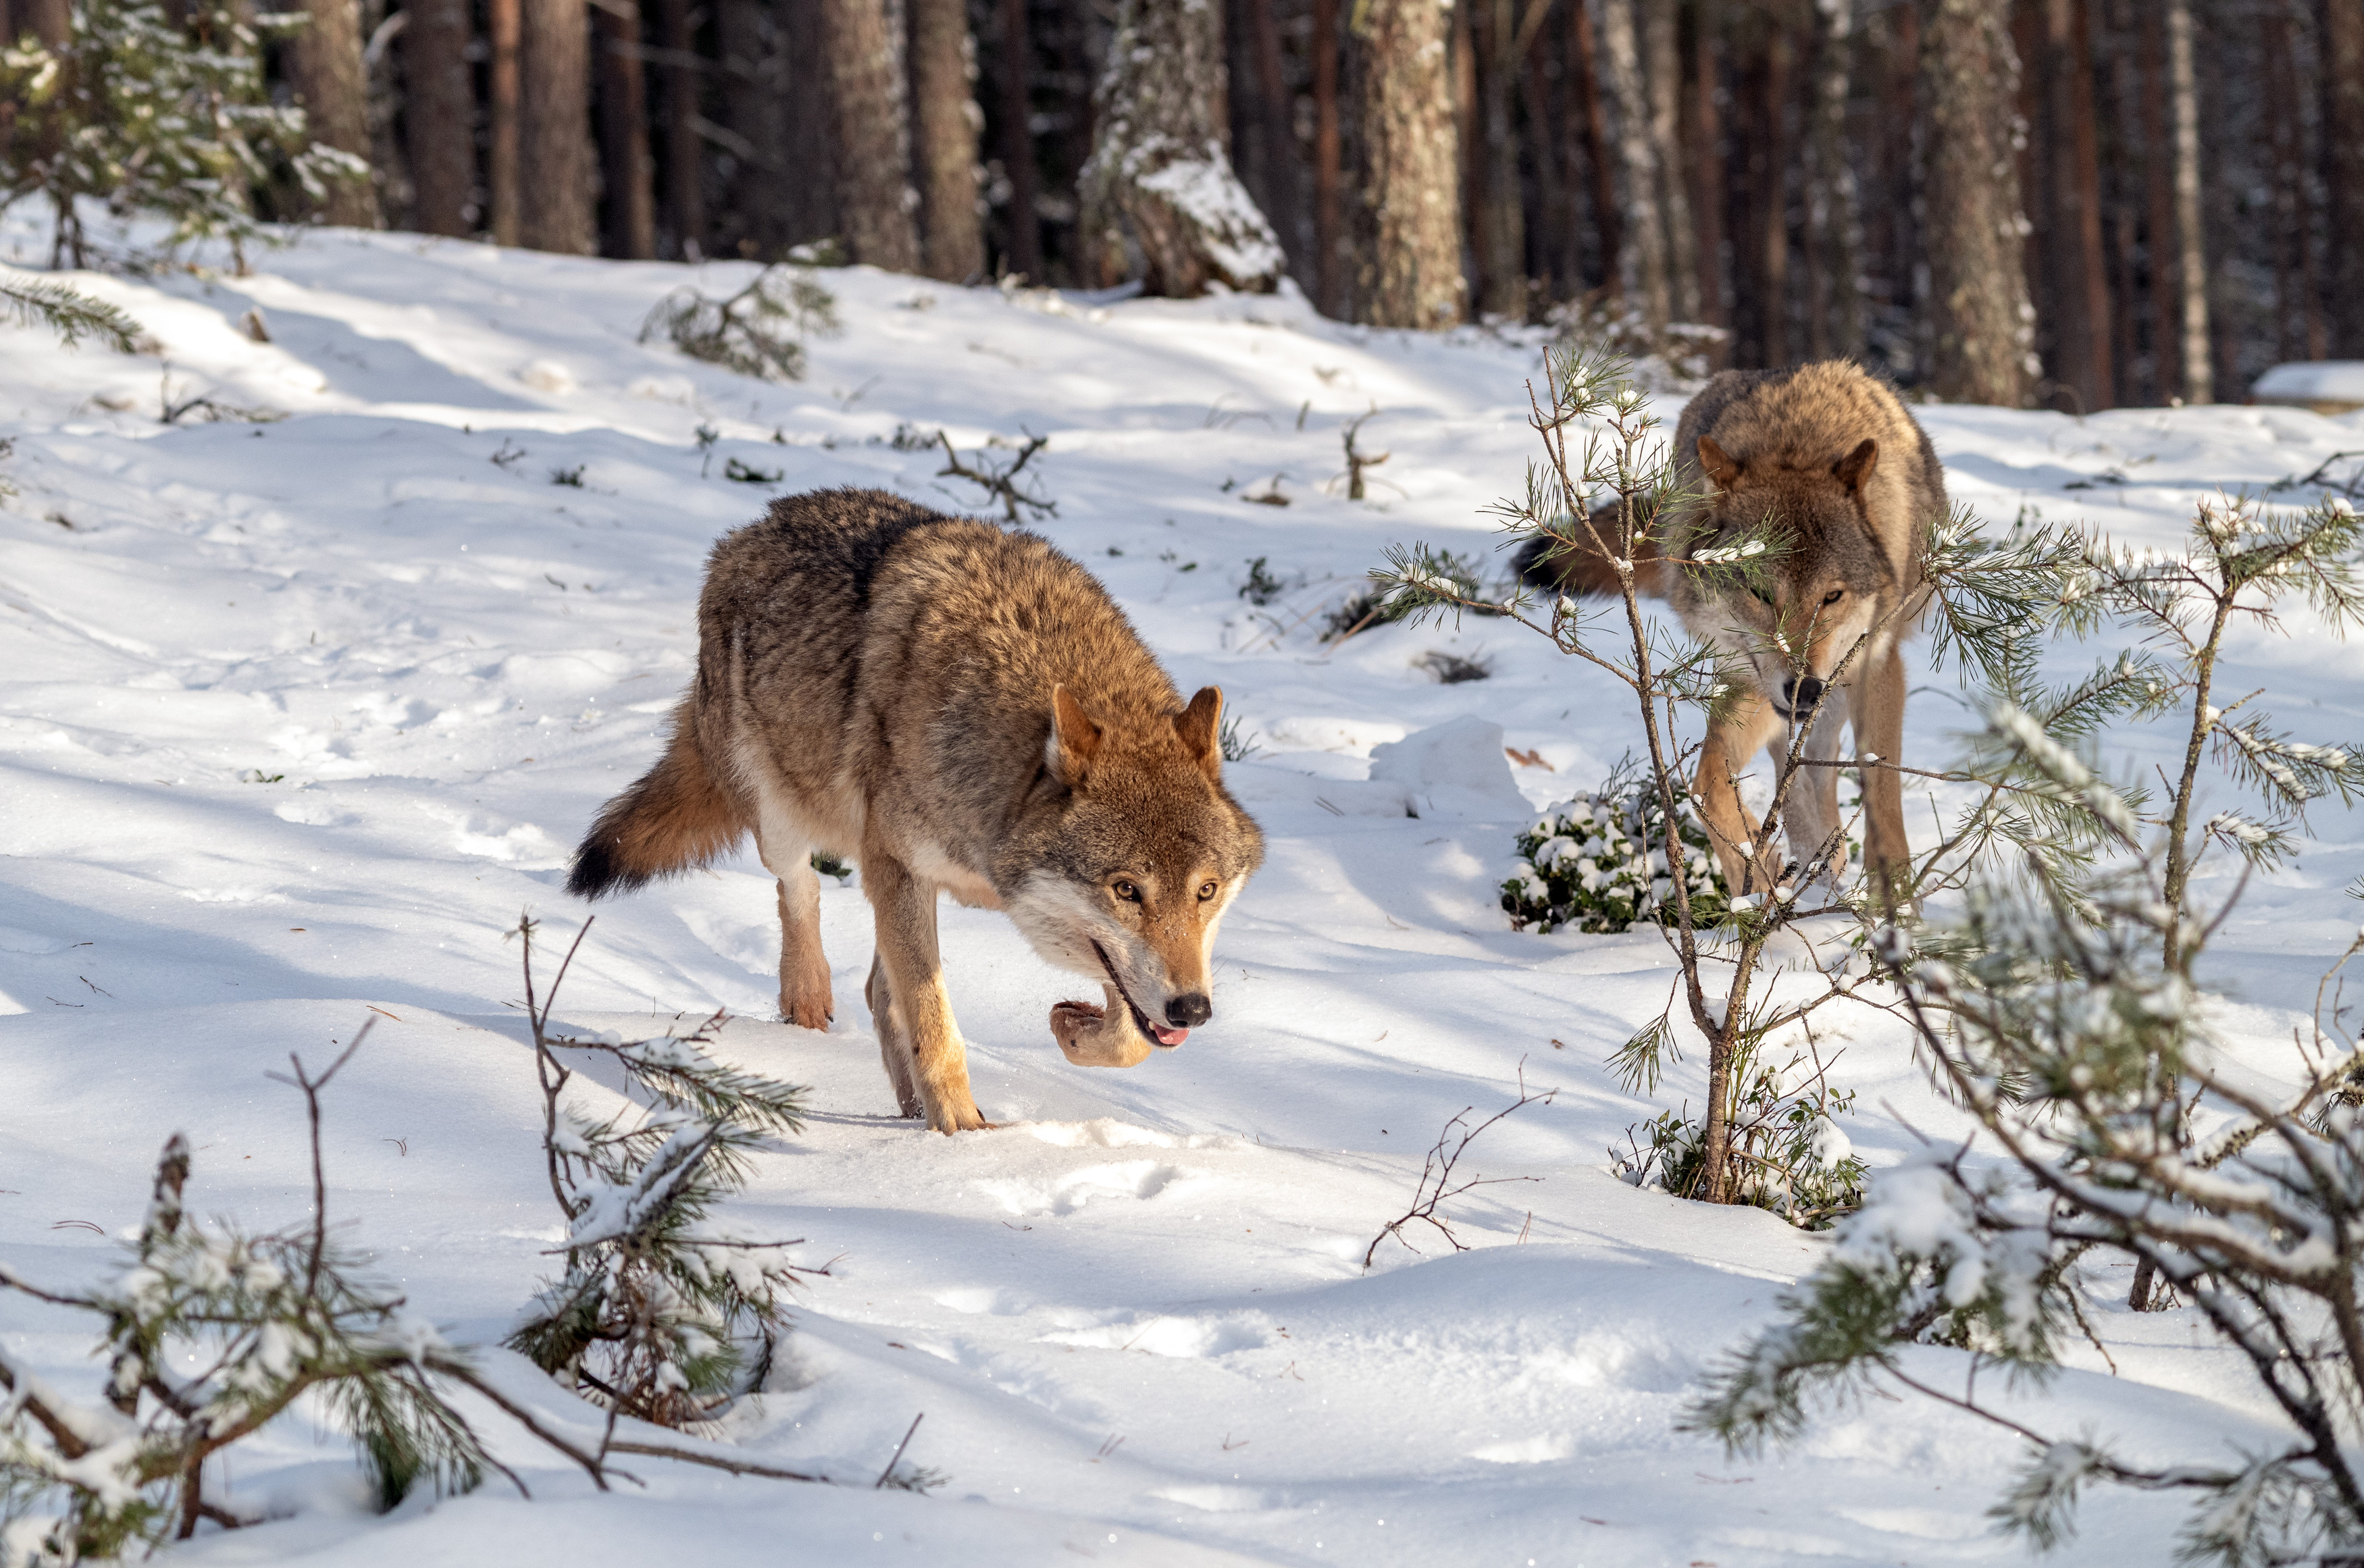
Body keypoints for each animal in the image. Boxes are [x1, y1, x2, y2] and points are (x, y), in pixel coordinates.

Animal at [565, 487, 1267, 1130]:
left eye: (1205, 891)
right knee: (800, 890)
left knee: (877, 986)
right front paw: (962, 1135)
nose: (1193, 1010)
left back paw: (905, 1107)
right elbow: (935, 1025)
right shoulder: (899, 867)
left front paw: (1073, 1029)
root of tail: (752, 527)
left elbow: (1128, 1036)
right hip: (783, 811)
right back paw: (809, 996)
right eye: (1126, 889)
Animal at [1513, 355, 1938, 893]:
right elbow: (1707, 786)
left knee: (1819, 766)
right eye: (1760, 592)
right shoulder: (1748, 678)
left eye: (1832, 596)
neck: (1795, 444)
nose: (1804, 689)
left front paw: (1898, 904)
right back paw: (1813, 856)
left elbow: (1883, 805)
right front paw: (1756, 869)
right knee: (1791, 768)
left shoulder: (1878, 664)